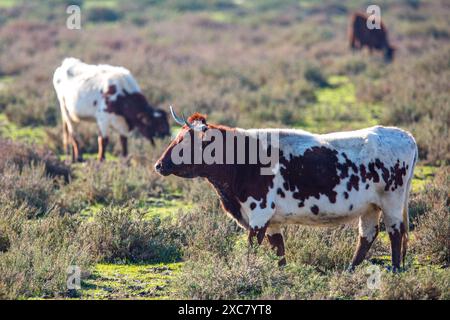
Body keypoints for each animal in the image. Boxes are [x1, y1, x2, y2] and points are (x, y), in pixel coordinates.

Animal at [156, 109, 418, 272]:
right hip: (370, 207)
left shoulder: (259, 213)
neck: (242, 161)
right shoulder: (271, 221)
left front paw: (247, 270)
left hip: (392, 201)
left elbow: (252, 248)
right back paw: (350, 270)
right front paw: (281, 274)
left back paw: (395, 271)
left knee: (395, 233)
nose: (159, 164)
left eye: (184, 142)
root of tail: (403, 134)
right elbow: (278, 249)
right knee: (367, 236)